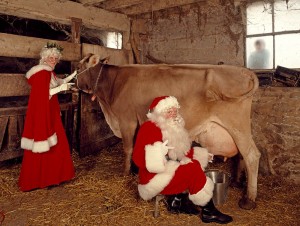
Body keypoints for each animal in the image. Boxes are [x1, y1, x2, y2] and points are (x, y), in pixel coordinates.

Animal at [75, 58, 260, 210]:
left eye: (79, 66)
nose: (75, 82)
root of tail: (245, 71)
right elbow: (136, 147)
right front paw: (135, 170)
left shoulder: (126, 120)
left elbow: (127, 148)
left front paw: (125, 172)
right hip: (240, 127)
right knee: (242, 154)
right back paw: (237, 182)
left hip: (236, 124)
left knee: (251, 155)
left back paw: (249, 200)